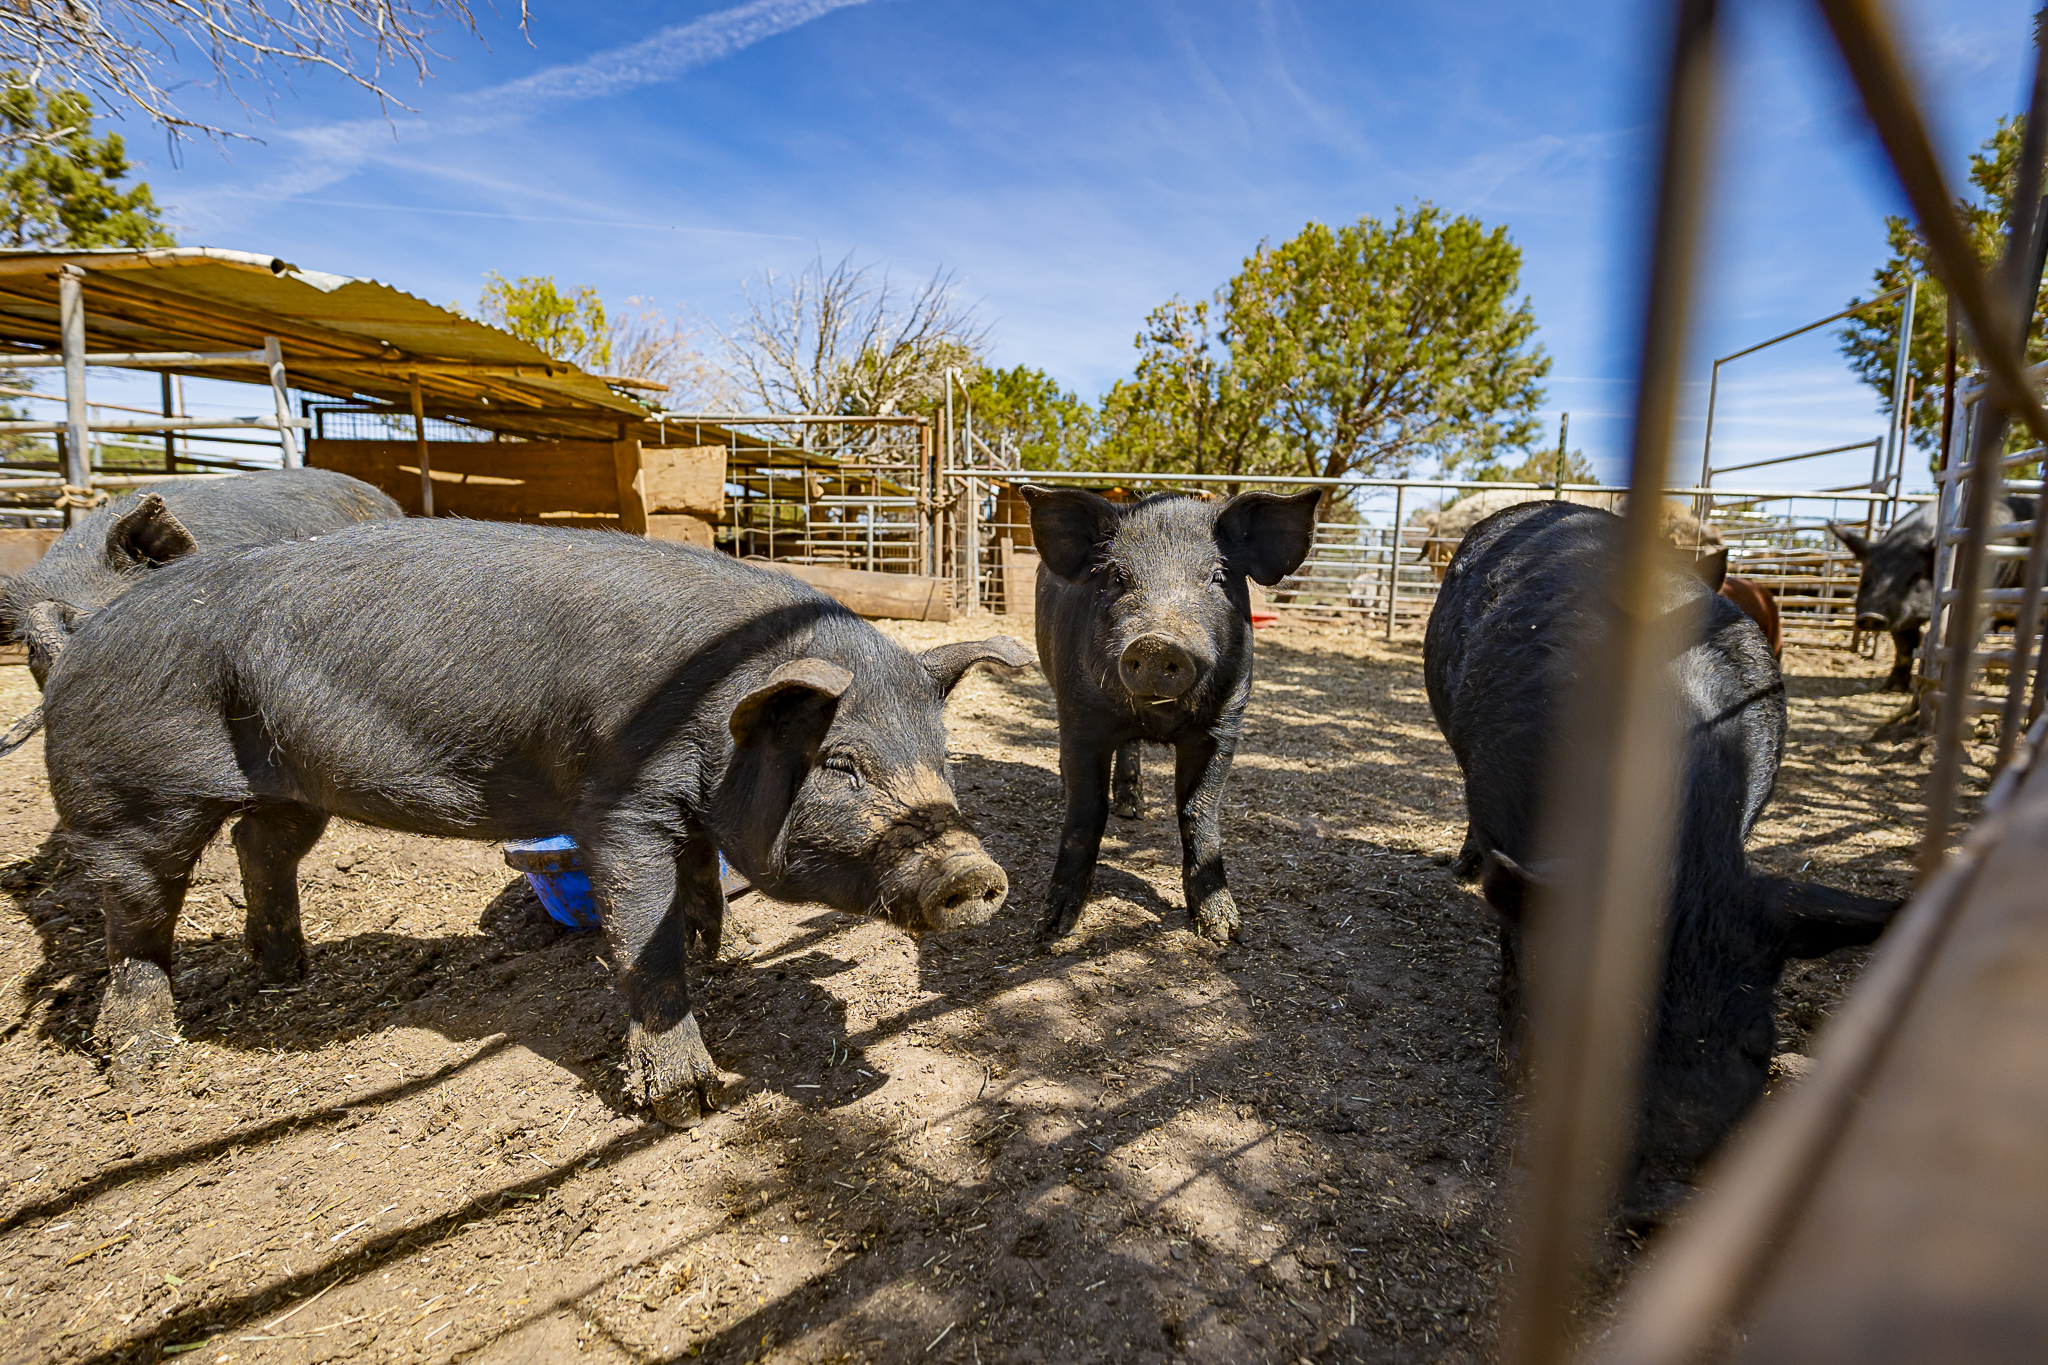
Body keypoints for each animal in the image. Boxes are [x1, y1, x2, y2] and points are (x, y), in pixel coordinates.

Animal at [40, 519, 1031, 1125]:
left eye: (942, 757)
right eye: (841, 765)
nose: (976, 875)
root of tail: (80, 633)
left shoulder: (689, 810)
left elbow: (702, 882)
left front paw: (730, 950)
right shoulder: (618, 805)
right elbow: (645, 936)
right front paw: (688, 1104)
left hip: (293, 787)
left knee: (260, 846)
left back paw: (288, 972)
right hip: (131, 799)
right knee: (135, 914)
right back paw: (146, 1063)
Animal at [1022, 486, 1321, 942]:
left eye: (1217, 576)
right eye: (1117, 577)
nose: (1156, 643)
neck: (1157, 719)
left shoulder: (1224, 724)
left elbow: (1200, 810)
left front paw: (1224, 931)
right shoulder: (1080, 716)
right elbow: (1085, 813)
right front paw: (1052, 928)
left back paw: (1133, 807)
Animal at [1829, 496, 2035, 692]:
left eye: (1914, 576)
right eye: (1867, 576)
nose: (1871, 615)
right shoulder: (1903, 617)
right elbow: (1905, 647)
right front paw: (1891, 688)